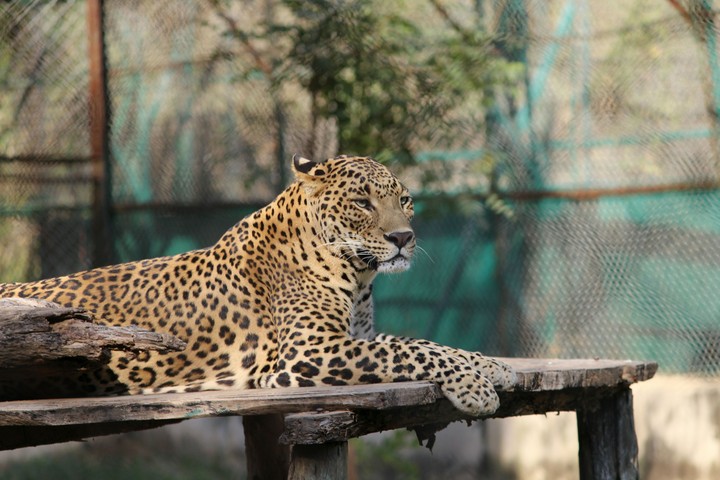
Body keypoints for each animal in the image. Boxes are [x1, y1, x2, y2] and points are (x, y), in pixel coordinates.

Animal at [0, 154, 515, 416]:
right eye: (363, 203)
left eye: (404, 200)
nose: (403, 238)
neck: (359, 275)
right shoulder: (308, 351)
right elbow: (406, 350)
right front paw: (476, 387)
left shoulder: (351, 337)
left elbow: (420, 342)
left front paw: (493, 366)